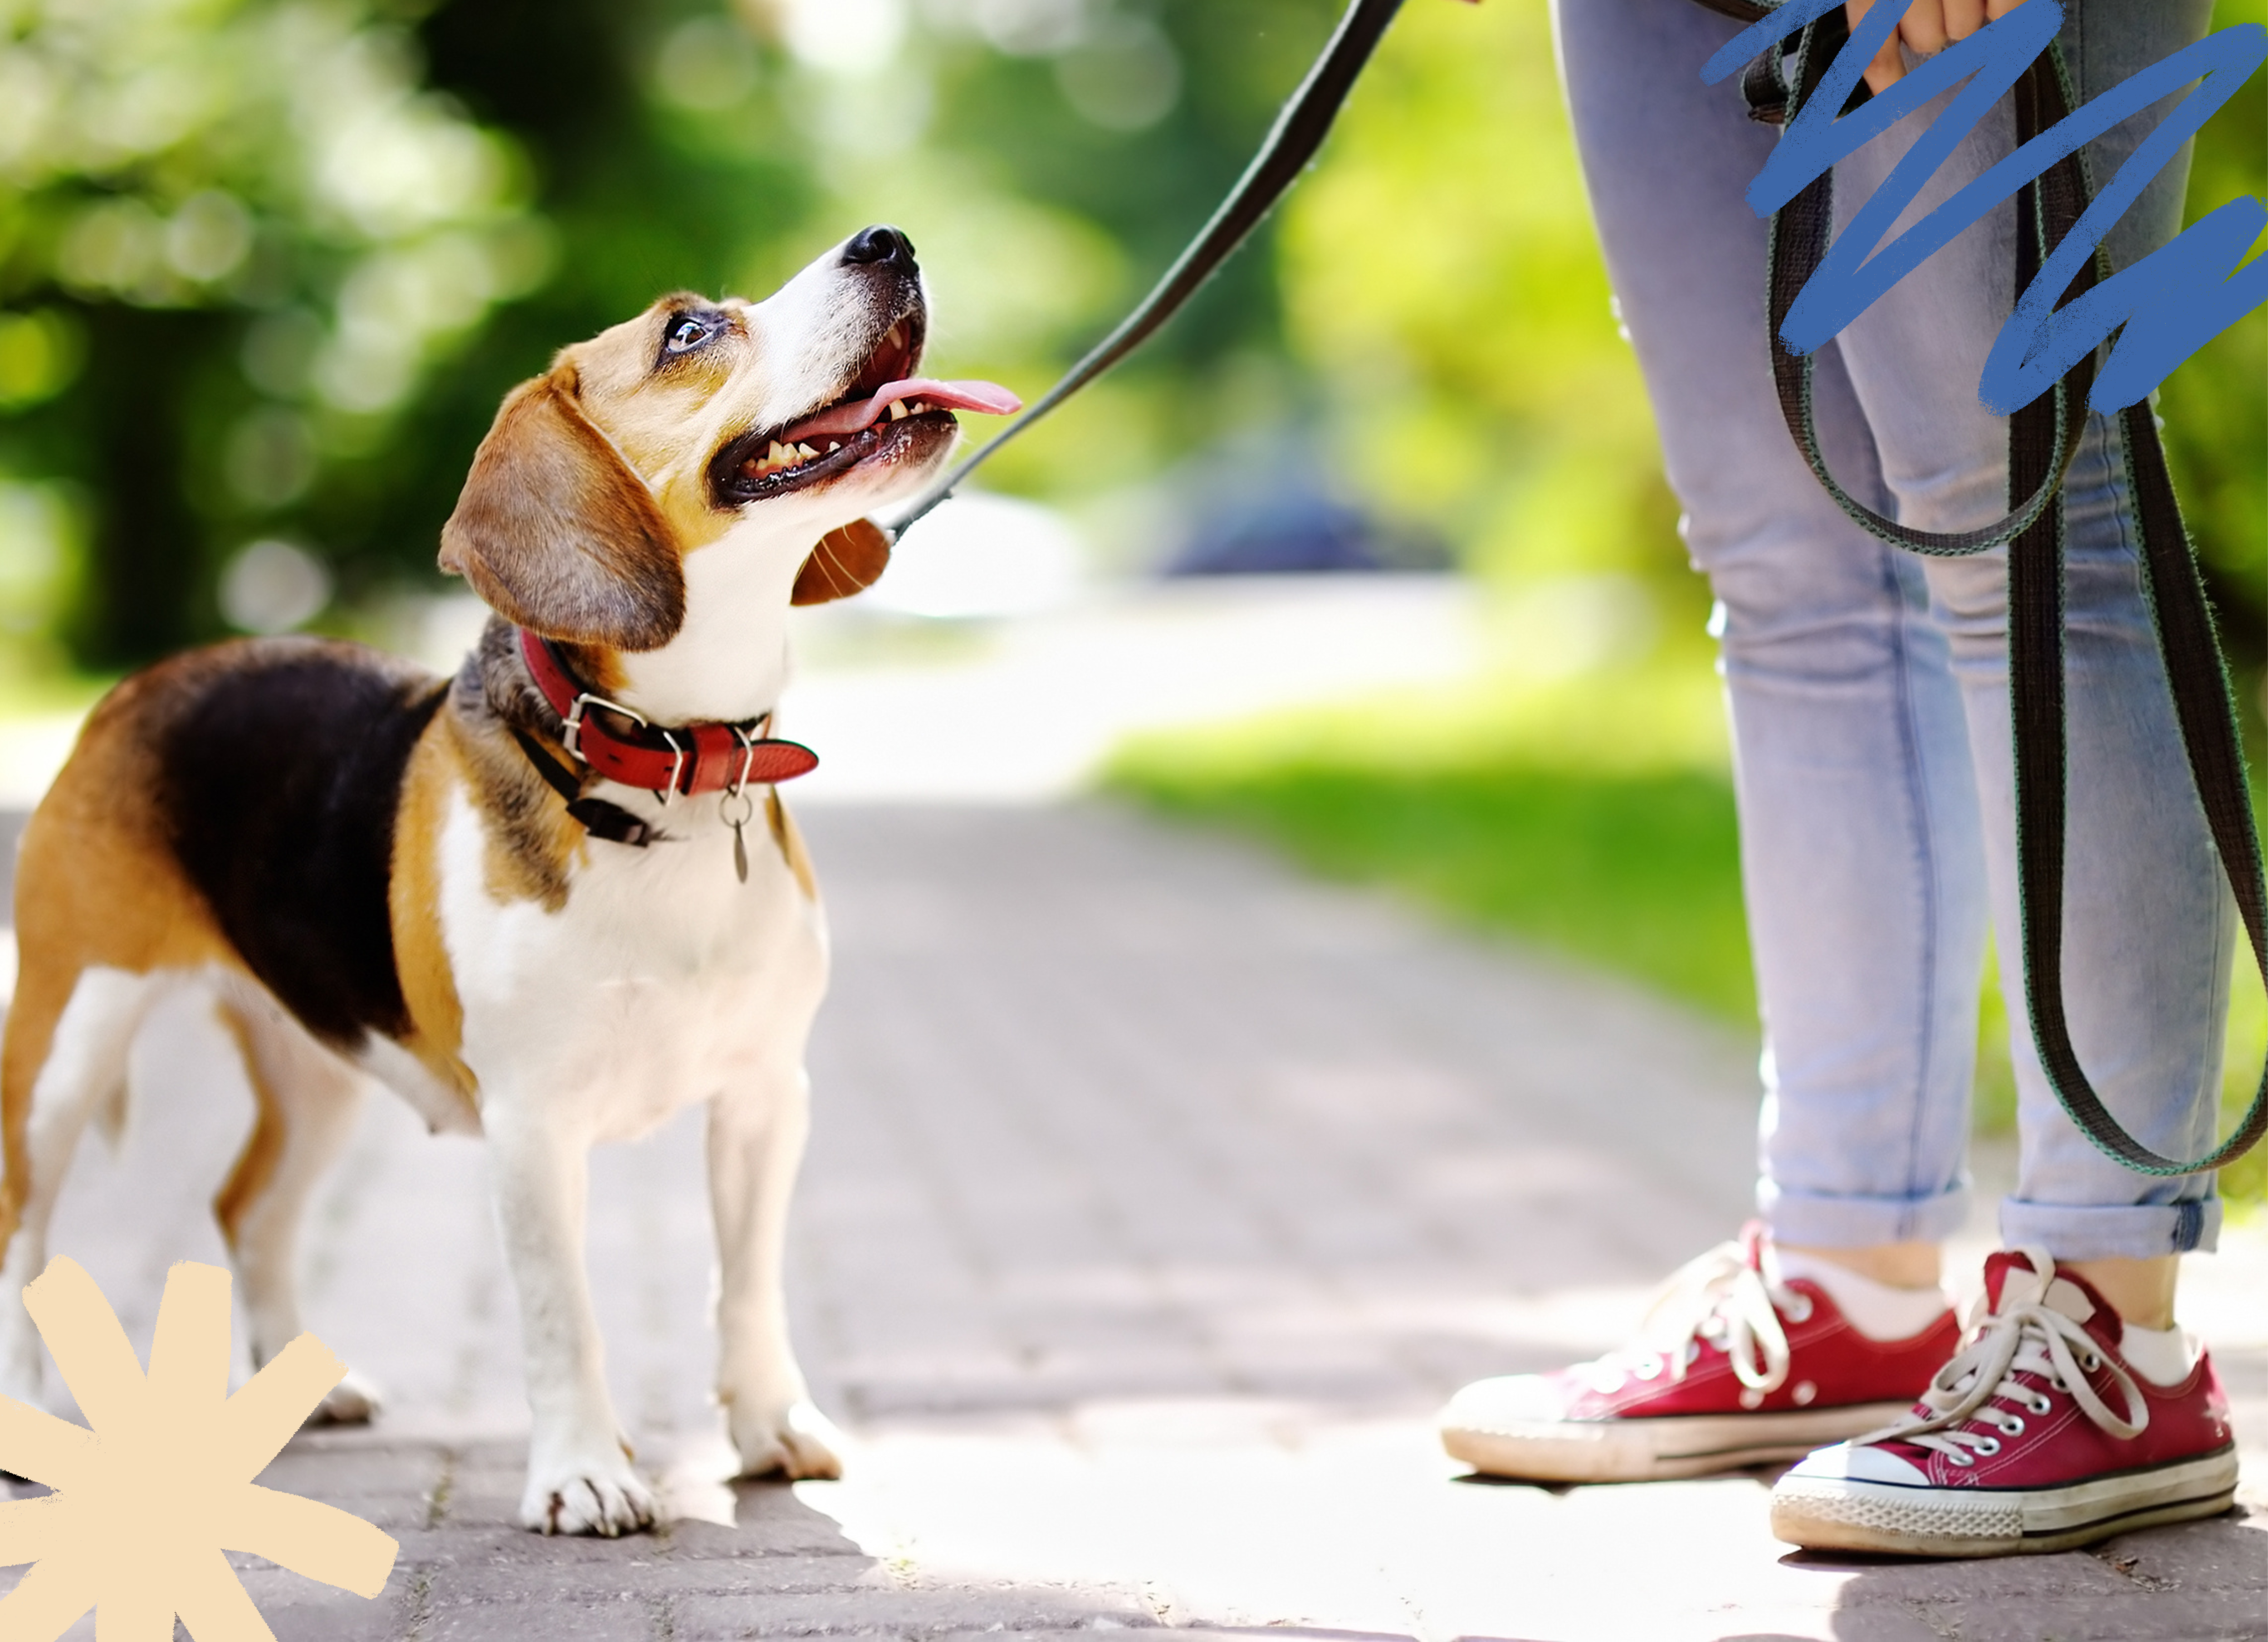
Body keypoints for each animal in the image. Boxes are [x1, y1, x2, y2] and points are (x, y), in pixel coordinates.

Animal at [0, 224, 1016, 1533]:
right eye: (689, 331)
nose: (887, 240)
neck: (666, 766)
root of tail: (146, 681)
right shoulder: (532, 1122)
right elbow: (558, 1310)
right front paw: (585, 1471)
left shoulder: (762, 1094)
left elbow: (746, 1284)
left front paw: (767, 1425)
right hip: (69, 1037)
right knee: (24, 1225)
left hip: (322, 1057)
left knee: (247, 1206)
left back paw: (303, 1380)